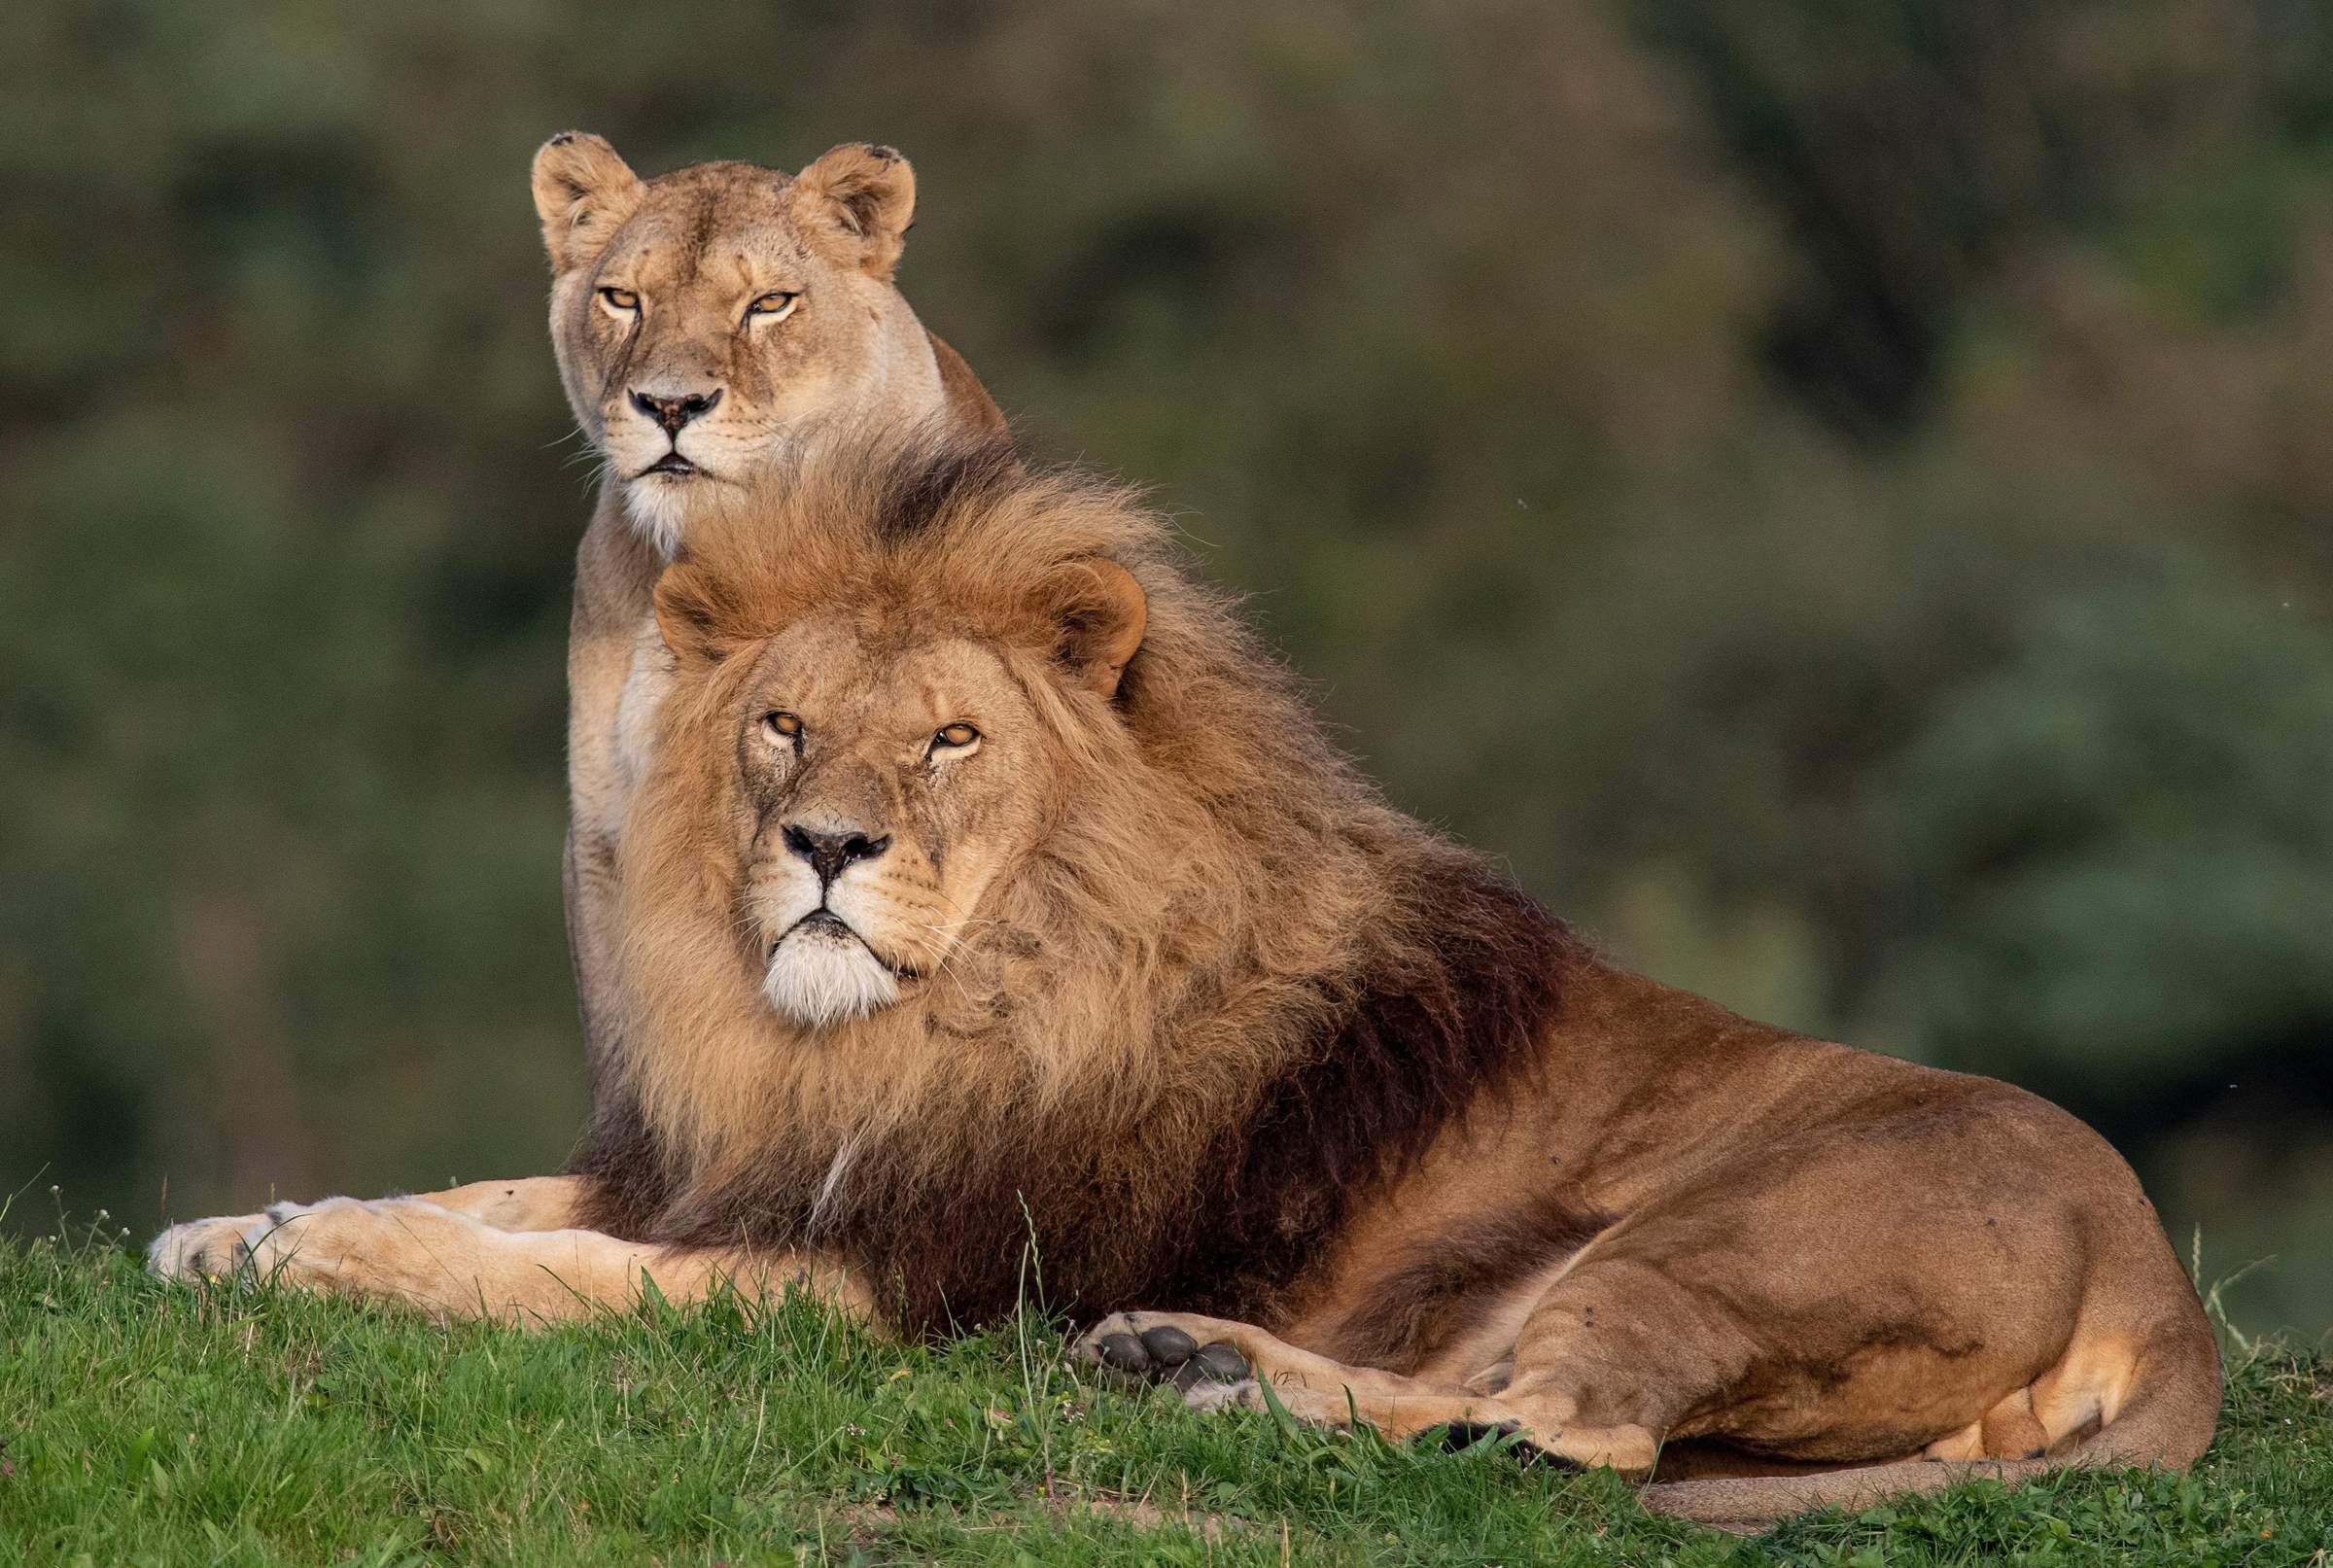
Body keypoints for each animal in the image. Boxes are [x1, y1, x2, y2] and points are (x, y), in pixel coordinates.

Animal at [155, 434, 2211, 1520]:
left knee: (1576, 1441)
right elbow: (505, 1193)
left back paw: (1228, 1386)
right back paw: (1189, 1362)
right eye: (785, 725)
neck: (898, 1034)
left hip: (1715, 1236)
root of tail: (2160, 1276)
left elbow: (554, 1272)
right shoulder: (739, 1166)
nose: (825, 847)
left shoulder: (890, 1283)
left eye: (953, 741)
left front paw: (326, 1250)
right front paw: (228, 1227)